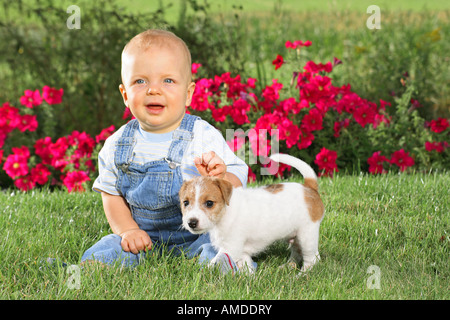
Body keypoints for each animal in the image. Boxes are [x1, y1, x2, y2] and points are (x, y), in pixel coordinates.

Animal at [178, 154, 324, 274]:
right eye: (185, 203)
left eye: (209, 203)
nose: (191, 222)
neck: (225, 214)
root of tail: (309, 188)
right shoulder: (241, 251)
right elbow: (246, 266)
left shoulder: (231, 248)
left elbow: (213, 262)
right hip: (295, 236)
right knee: (296, 252)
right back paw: (288, 266)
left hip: (307, 236)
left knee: (313, 258)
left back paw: (302, 274)